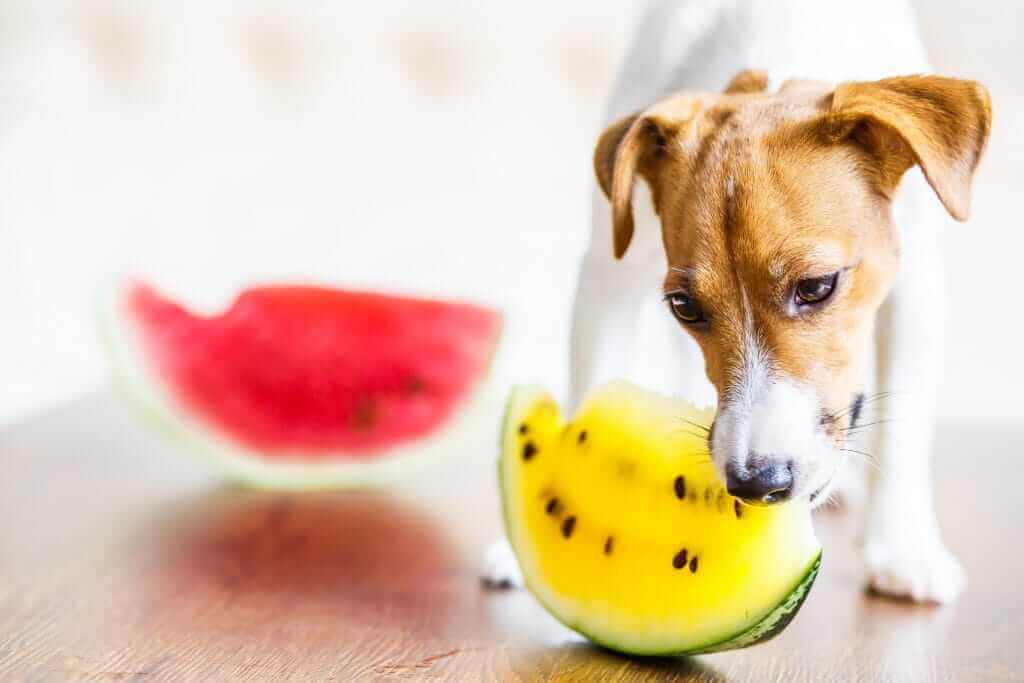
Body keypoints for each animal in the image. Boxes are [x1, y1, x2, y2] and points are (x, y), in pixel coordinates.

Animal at [487, 0, 991, 602]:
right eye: (685, 306)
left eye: (817, 285)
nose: (756, 483)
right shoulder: (609, 274)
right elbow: (591, 393)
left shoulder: (915, 286)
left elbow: (906, 424)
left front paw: (903, 549)